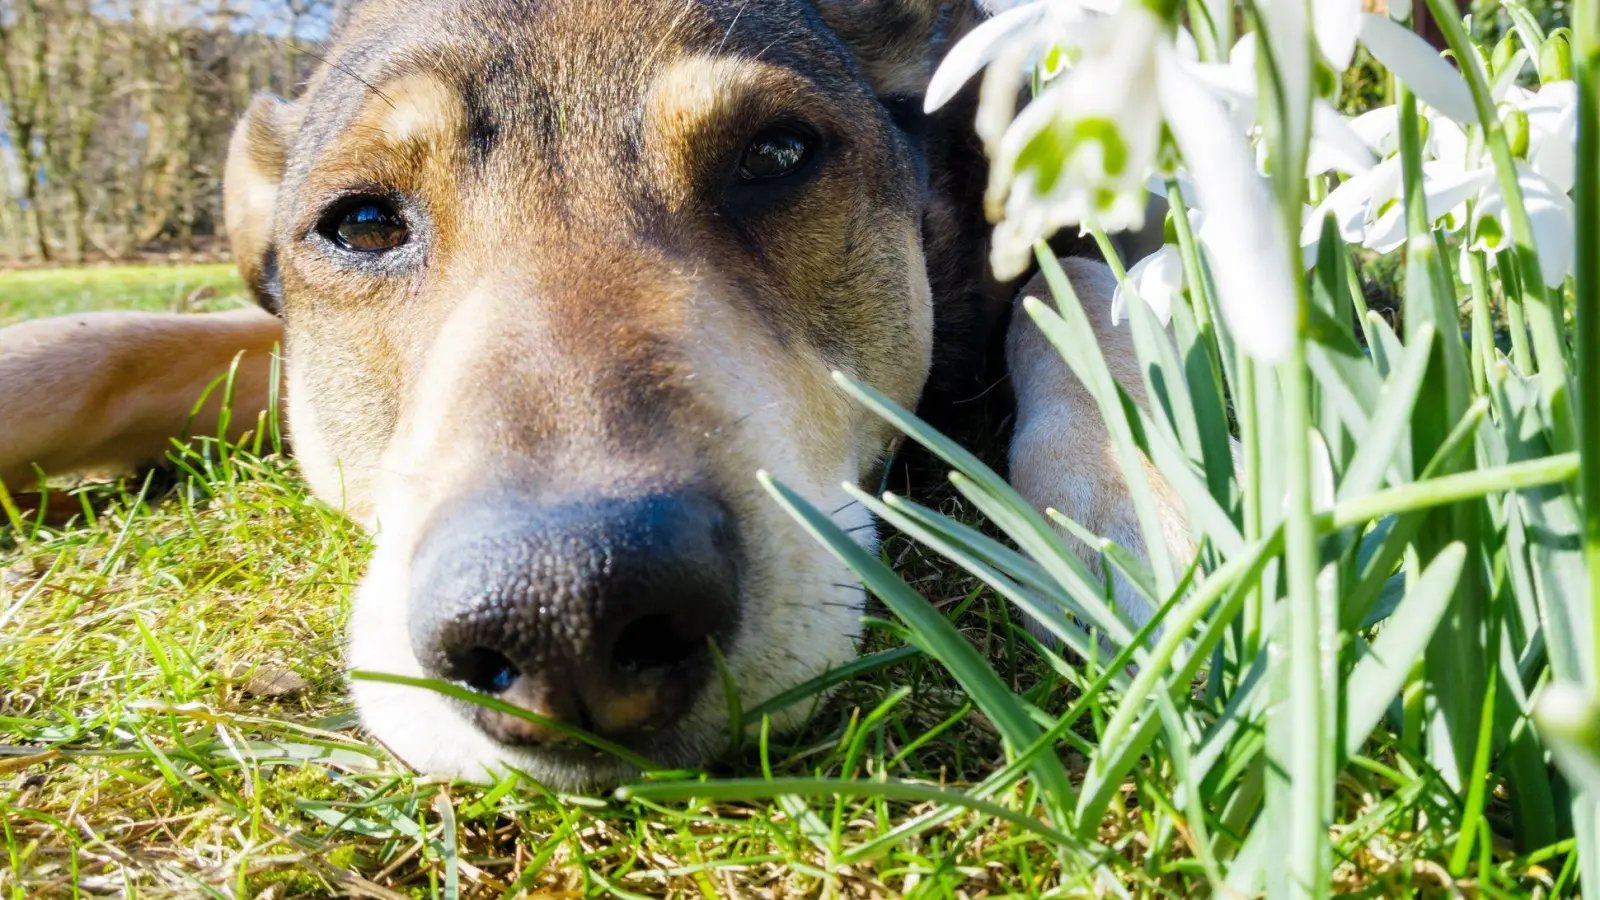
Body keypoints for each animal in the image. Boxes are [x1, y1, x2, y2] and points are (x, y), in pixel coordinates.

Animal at [0, 0, 1190, 784]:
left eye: (778, 153)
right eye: (363, 221)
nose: (566, 615)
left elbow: (1086, 293)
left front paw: (1143, 509)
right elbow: (111, 342)